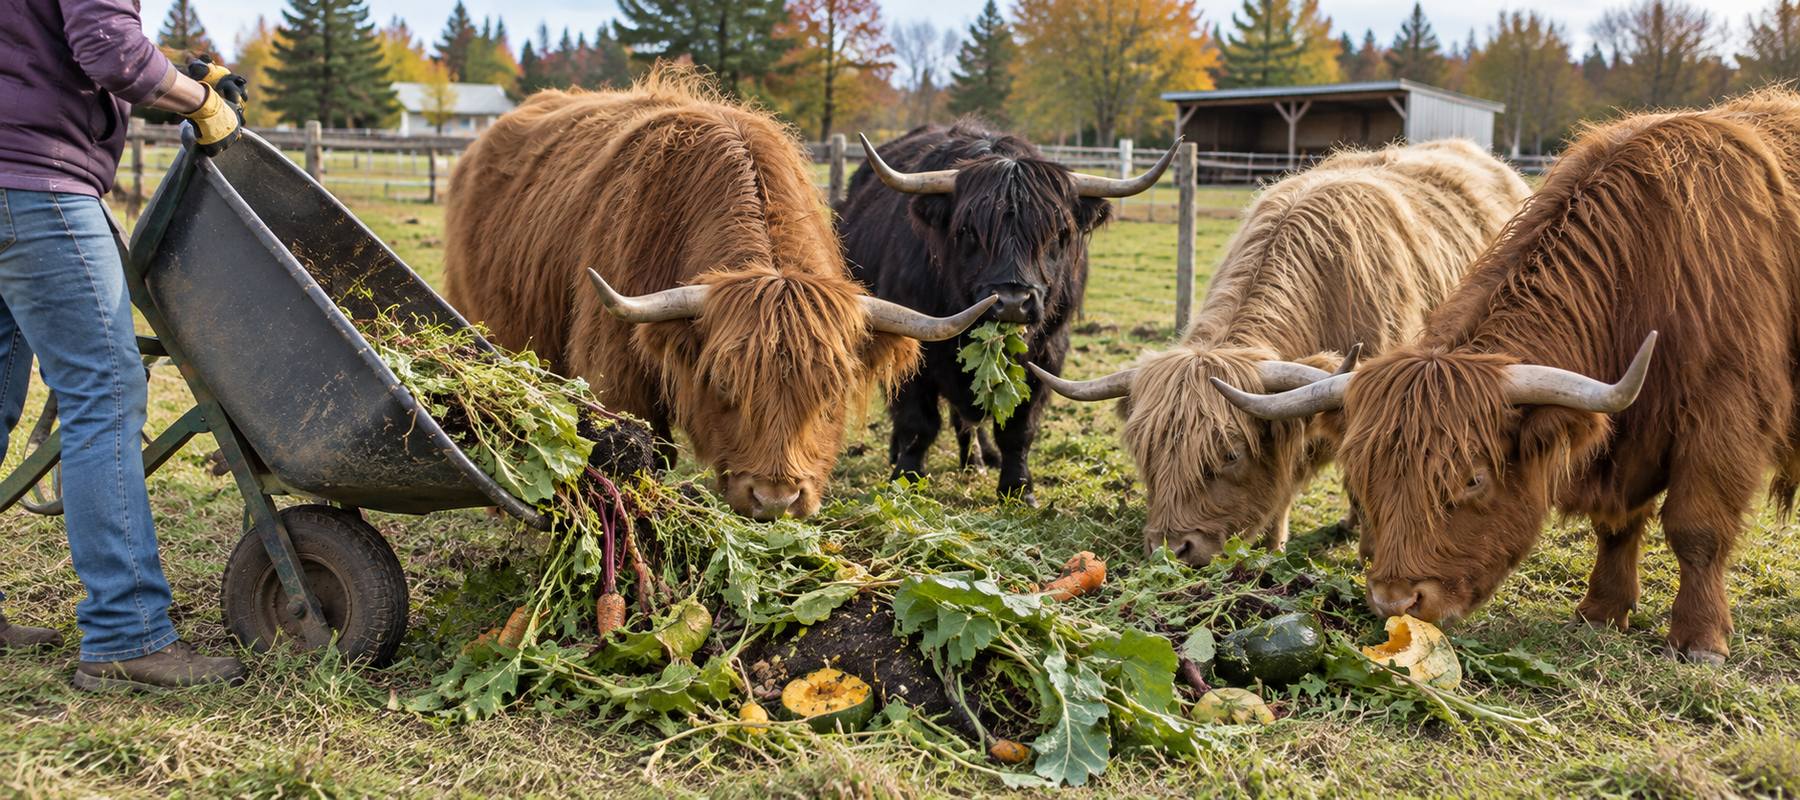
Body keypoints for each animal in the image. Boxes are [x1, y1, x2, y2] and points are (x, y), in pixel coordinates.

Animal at [836, 121, 1175, 502]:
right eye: (968, 232)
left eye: (1057, 234)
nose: (1013, 302)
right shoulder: (914, 342)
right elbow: (917, 422)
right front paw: (907, 479)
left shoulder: (1046, 354)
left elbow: (1018, 428)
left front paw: (1018, 487)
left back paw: (978, 460)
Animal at [1210, 90, 1800, 664]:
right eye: (1365, 475)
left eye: (1472, 478)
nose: (1396, 600)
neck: (1646, 277)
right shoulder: (1621, 443)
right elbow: (1616, 524)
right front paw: (1602, 611)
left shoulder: (1724, 419)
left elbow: (1696, 529)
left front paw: (1700, 639)